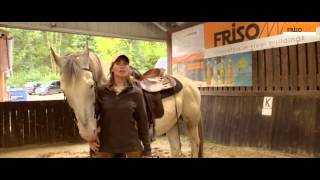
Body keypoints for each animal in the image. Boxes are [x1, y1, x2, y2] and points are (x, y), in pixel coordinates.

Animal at [51, 47, 204, 158]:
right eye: (63, 89)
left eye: (91, 85)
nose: (88, 133)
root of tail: (191, 84)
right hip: (172, 125)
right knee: (176, 150)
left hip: (191, 122)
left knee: (195, 145)